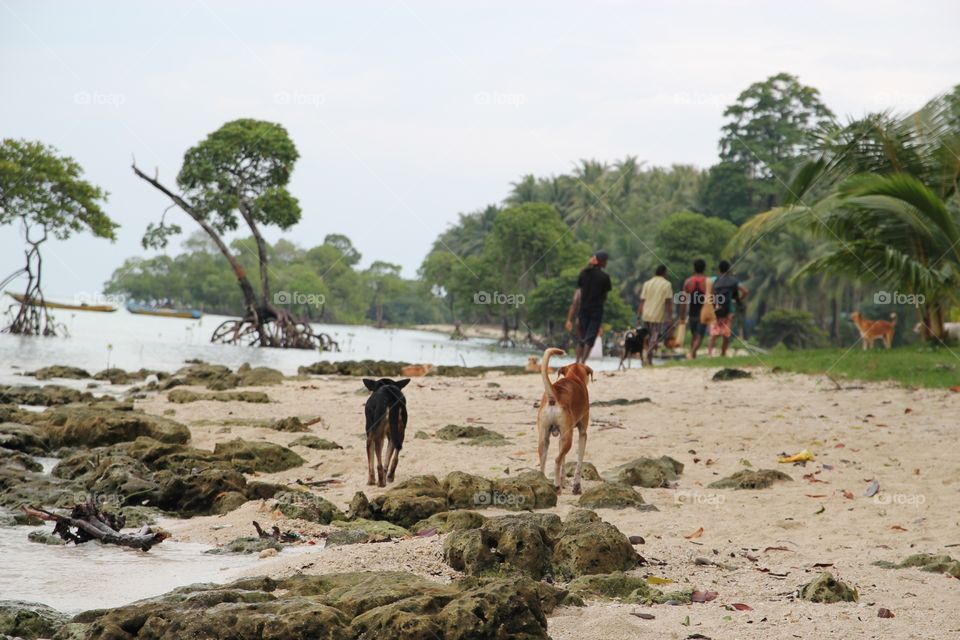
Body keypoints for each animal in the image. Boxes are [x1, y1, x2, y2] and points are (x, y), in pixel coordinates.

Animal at [536, 350, 588, 496]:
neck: (574, 377)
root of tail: (554, 395)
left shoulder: (561, 436)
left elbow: (564, 462)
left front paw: (564, 481)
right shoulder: (582, 433)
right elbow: (579, 461)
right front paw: (576, 486)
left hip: (545, 438)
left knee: (544, 459)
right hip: (568, 438)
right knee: (556, 460)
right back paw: (557, 486)